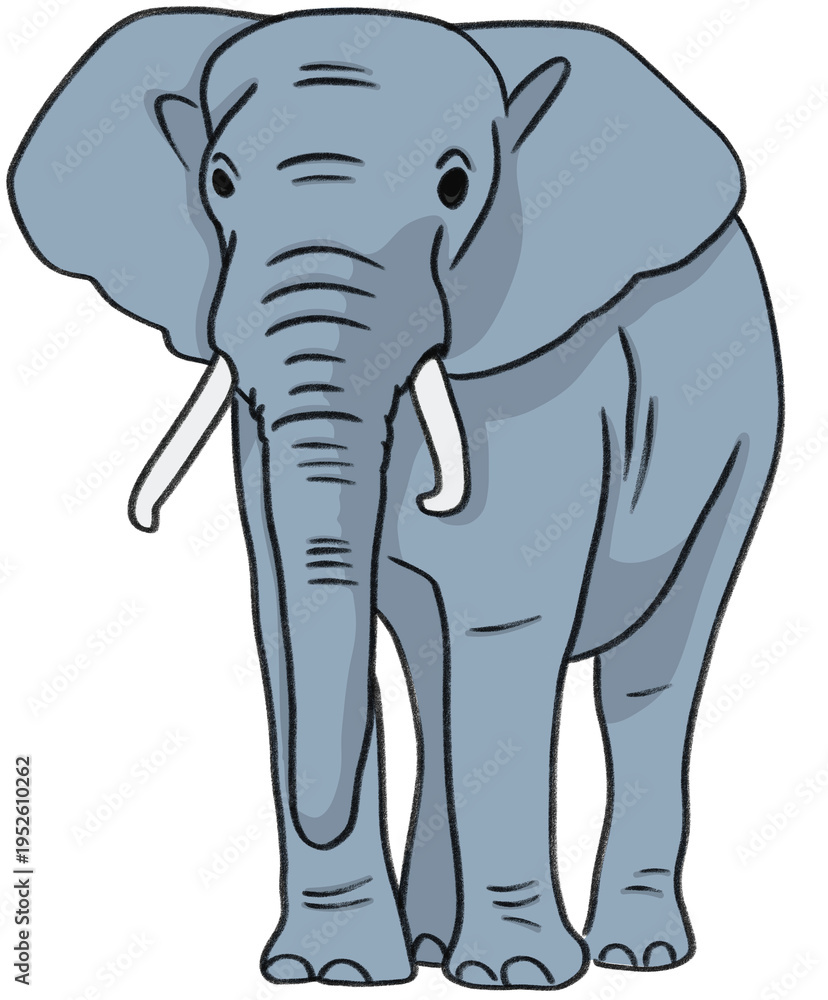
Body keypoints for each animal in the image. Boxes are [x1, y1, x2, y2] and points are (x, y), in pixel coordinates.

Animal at [9, 6, 782, 990]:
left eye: (456, 186)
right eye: (218, 181)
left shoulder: (541, 382)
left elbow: (502, 622)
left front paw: (516, 977)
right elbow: (294, 621)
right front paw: (334, 973)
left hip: (744, 445)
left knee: (650, 674)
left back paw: (633, 954)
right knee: (432, 673)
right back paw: (430, 948)